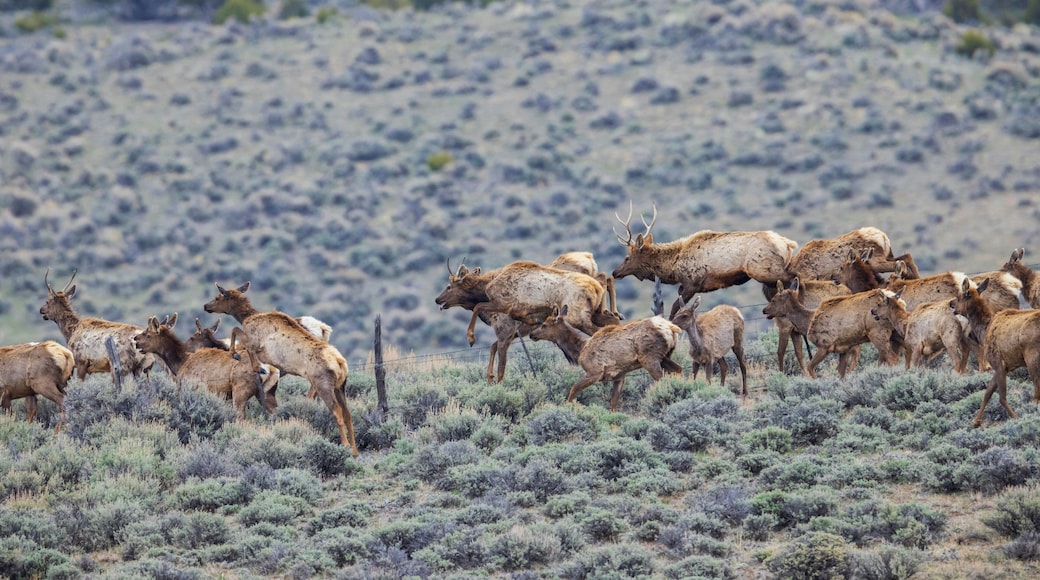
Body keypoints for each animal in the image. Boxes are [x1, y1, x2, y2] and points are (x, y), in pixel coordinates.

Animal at [133, 314, 275, 420]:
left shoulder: (190, 388)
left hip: (240, 392)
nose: (135, 339)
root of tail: (265, 370)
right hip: (266, 393)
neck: (180, 364)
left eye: (147, 333)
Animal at [204, 282, 358, 455]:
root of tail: (340, 363)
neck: (247, 317)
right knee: (348, 413)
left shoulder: (255, 343)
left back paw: (345, 445)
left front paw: (240, 356)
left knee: (337, 411)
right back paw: (355, 450)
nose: (206, 306)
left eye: (218, 297)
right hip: (341, 386)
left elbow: (236, 332)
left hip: (323, 384)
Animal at [528, 304, 683, 411]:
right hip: (665, 356)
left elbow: (573, 389)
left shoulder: (595, 372)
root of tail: (671, 328)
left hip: (649, 357)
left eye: (544, 325)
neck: (580, 350)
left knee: (663, 379)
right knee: (679, 369)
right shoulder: (620, 375)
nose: (531, 335)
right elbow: (613, 403)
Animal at [610, 203, 798, 317]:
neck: (673, 268)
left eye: (627, 257)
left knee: (794, 278)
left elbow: (674, 310)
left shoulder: (691, 284)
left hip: (763, 270)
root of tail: (788, 244)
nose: (614, 272)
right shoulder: (685, 287)